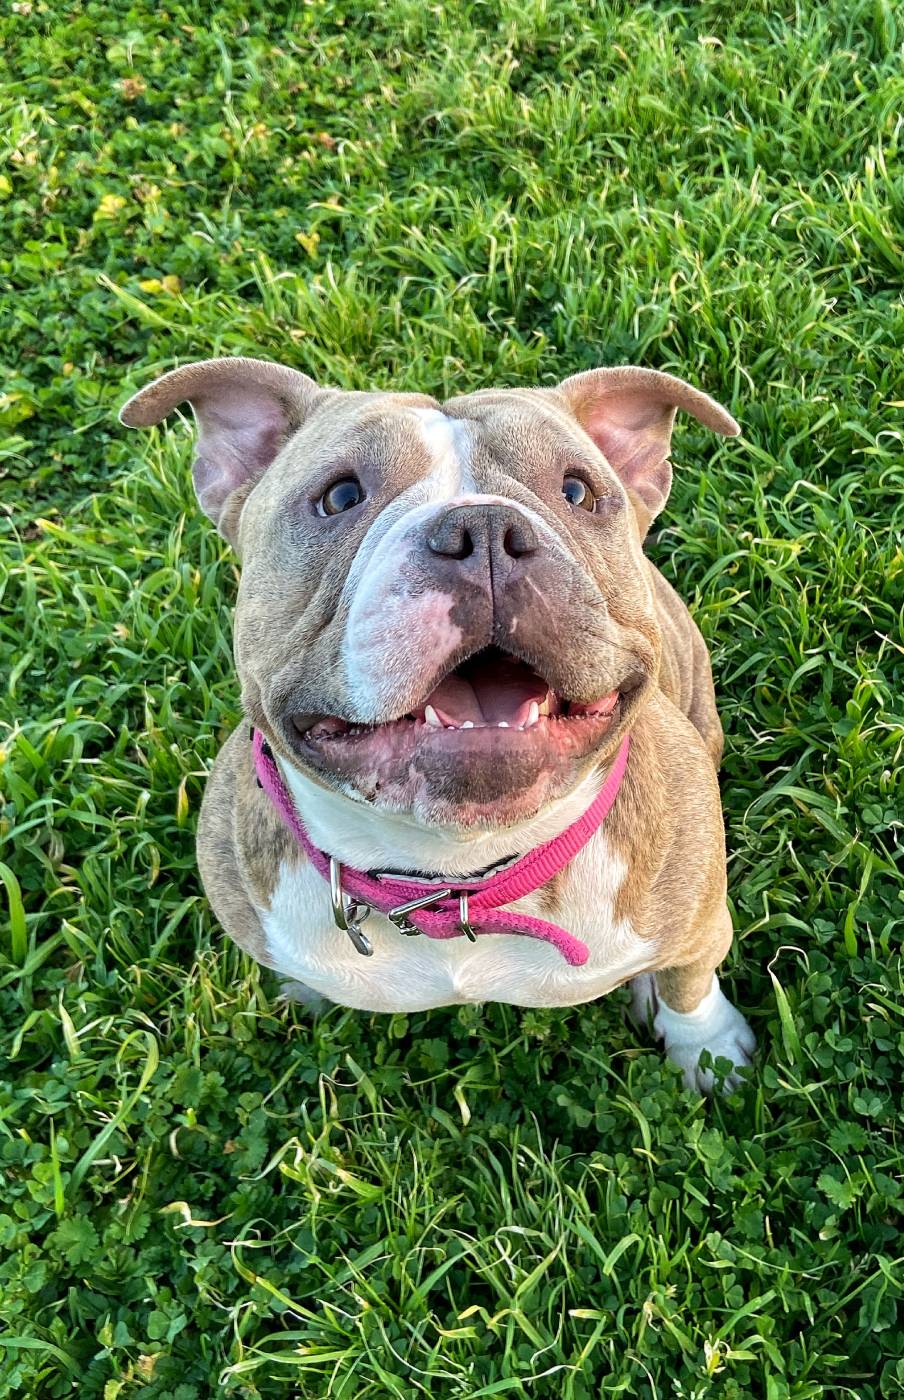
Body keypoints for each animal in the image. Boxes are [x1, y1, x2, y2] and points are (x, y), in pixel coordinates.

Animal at [121, 357, 755, 1093]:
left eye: (578, 491)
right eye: (339, 496)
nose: (482, 530)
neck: (455, 877)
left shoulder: (701, 923)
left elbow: (690, 983)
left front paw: (707, 1051)